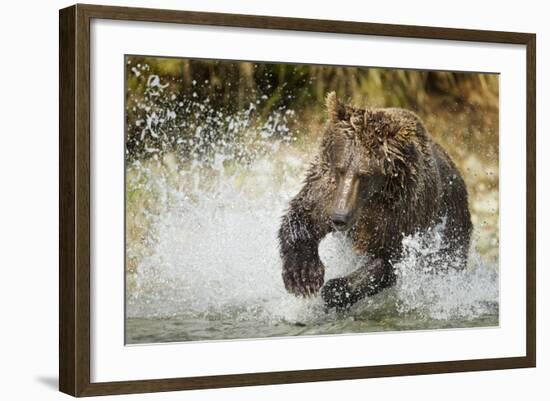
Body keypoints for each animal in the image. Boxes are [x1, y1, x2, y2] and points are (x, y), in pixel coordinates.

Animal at [280, 92, 474, 308]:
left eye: (364, 175)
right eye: (340, 169)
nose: (339, 218)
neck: (372, 198)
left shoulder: (404, 214)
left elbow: (390, 261)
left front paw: (336, 288)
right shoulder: (327, 190)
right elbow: (304, 215)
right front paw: (303, 276)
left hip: (452, 227)